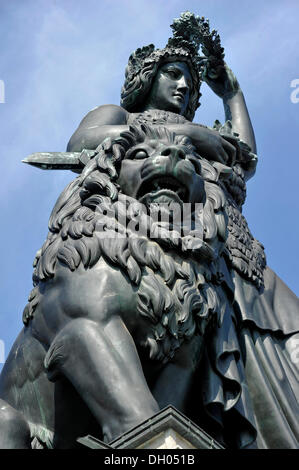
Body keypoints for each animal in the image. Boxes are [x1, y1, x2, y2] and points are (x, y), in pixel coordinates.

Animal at [0, 124, 230, 448]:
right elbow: (125, 394)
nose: (175, 153)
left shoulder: (185, 355)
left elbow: (168, 410)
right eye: (140, 153)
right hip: (8, 417)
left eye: (194, 163)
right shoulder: (90, 325)